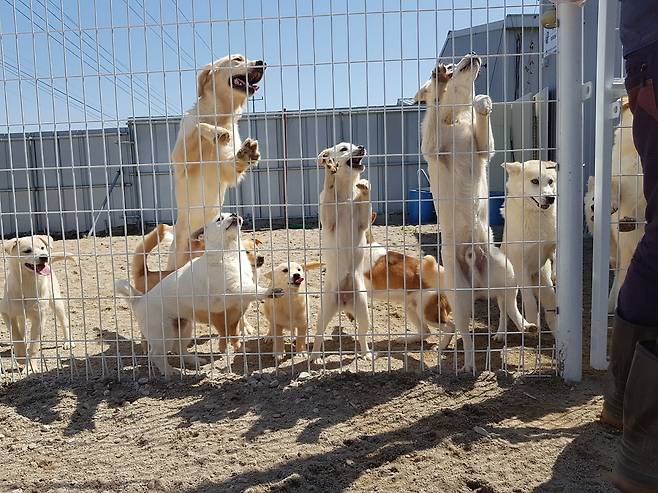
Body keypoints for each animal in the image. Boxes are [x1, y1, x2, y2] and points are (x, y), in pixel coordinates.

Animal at [0, 234, 75, 366]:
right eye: (27, 251)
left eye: (42, 248)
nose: (44, 257)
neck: (27, 282)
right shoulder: (6, 313)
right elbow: (16, 334)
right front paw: (20, 355)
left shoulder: (39, 318)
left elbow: (34, 345)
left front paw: (31, 365)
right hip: (21, 314)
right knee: (21, 328)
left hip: (56, 302)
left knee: (64, 321)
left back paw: (67, 342)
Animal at [168, 55, 268, 270]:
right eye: (238, 59)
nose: (261, 63)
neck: (220, 115)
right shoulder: (182, 161)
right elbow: (199, 125)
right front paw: (217, 133)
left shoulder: (227, 169)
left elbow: (234, 163)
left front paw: (246, 153)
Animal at [308, 142, 372, 362]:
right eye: (344, 148)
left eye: (355, 145)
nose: (362, 146)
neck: (345, 197)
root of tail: (344, 303)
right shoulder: (328, 220)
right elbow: (328, 193)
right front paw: (329, 171)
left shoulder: (363, 222)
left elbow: (365, 206)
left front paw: (365, 186)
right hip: (325, 309)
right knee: (318, 335)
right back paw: (315, 357)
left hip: (363, 308)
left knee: (362, 334)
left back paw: (366, 353)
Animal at [418, 54, 536, 368]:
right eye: (451, 66)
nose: (474, 56)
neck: (457, 118)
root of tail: (478, 282)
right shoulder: (432, 149)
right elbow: (434, 114)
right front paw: (438, 83)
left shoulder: (484, 148)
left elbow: (483, 127)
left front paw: (483, 104)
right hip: (460, 301)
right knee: (465, 334)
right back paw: (469, 363)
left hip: (507, 276)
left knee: (510, 309)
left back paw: (526, 326)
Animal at [500, 160, 556, 336]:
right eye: (535, 181)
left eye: (551, 181)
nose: (551, 198)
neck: (536, 216)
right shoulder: (520, 264)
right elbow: (530, 301)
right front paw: (533, 319)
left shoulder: (551, 246)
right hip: (511, 281)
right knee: (507, 308)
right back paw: (515, 329)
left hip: (545, 286)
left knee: (551, 309)